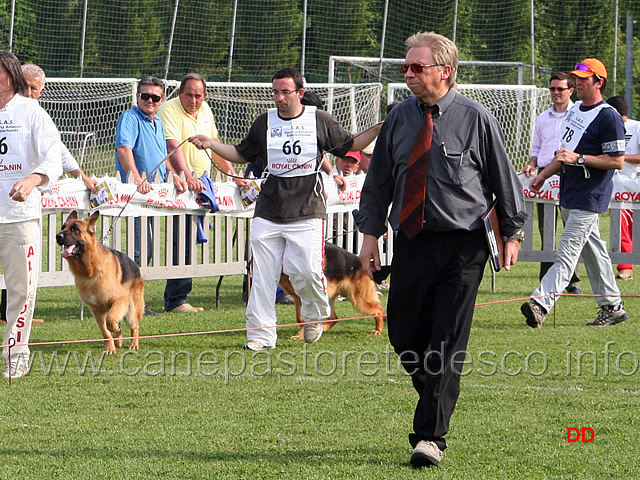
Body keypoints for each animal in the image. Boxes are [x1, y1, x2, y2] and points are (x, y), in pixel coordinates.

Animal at [55, 210, 144, 352]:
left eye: (75, 229)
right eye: (63, 227)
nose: (58, 236)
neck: (90, 270)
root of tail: (135, 265)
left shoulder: (120, 299)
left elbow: (111, 320)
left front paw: (114, 329)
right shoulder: (97, 311)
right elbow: (105, 331)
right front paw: (110, 348)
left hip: (131, 310)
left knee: (135, 326)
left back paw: (134, 344)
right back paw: (119, 339)